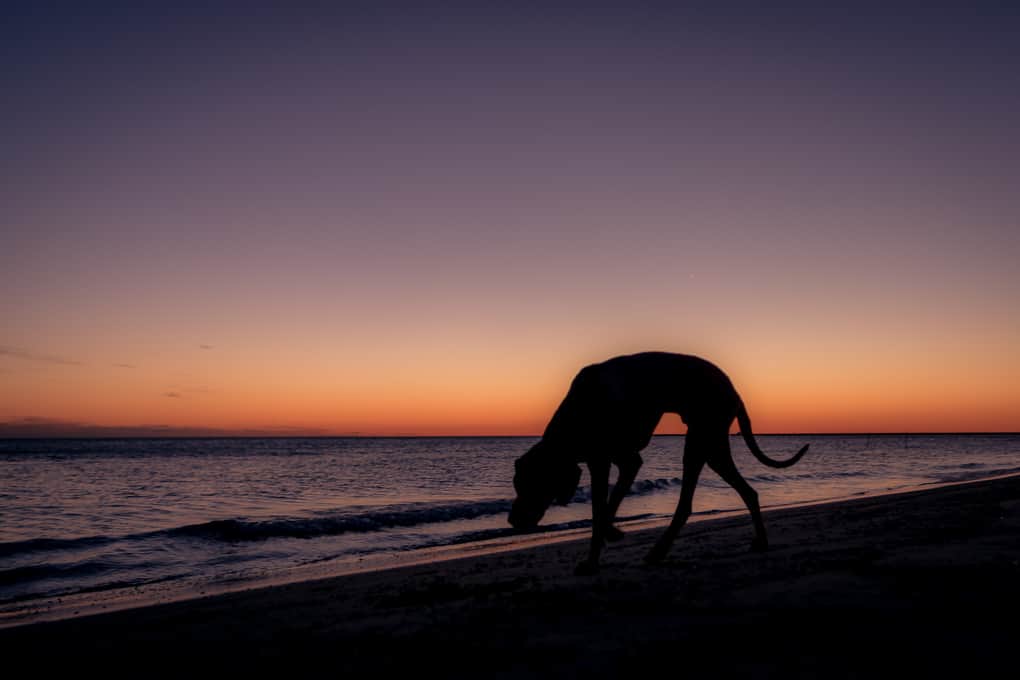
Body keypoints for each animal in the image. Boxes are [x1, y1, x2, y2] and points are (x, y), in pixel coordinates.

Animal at [505, 354, 807, 579]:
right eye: (517, 485)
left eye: (534, 485)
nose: (512, 521)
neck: (578, 413)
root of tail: (733, 389)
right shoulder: (619, 461)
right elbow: (606, 508)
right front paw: (611, 533)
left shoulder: (608, 461)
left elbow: (599, 511)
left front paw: (592, 562)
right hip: (710, 445)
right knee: (747, 492)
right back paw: (759, 541)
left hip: (702, 438)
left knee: (688, 504)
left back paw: (658, 551)